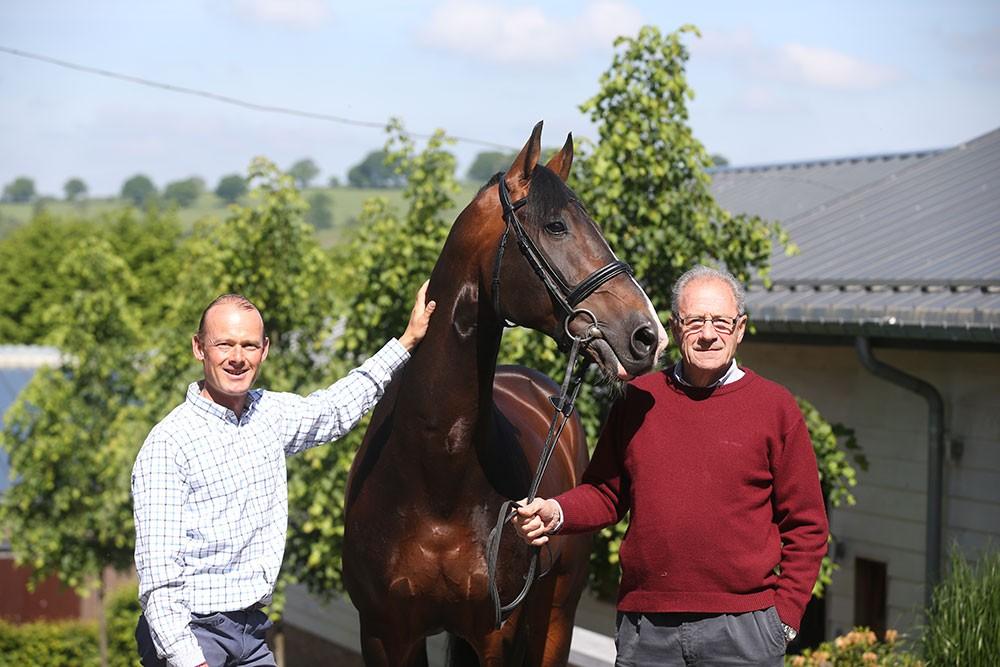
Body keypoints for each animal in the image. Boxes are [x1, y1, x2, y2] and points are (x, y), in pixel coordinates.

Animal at [342, 122, 664, 664]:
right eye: (556, 226)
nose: (647, 335)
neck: (435, 471)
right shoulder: (385, 635)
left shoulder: (496, 634)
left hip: (555, 616)